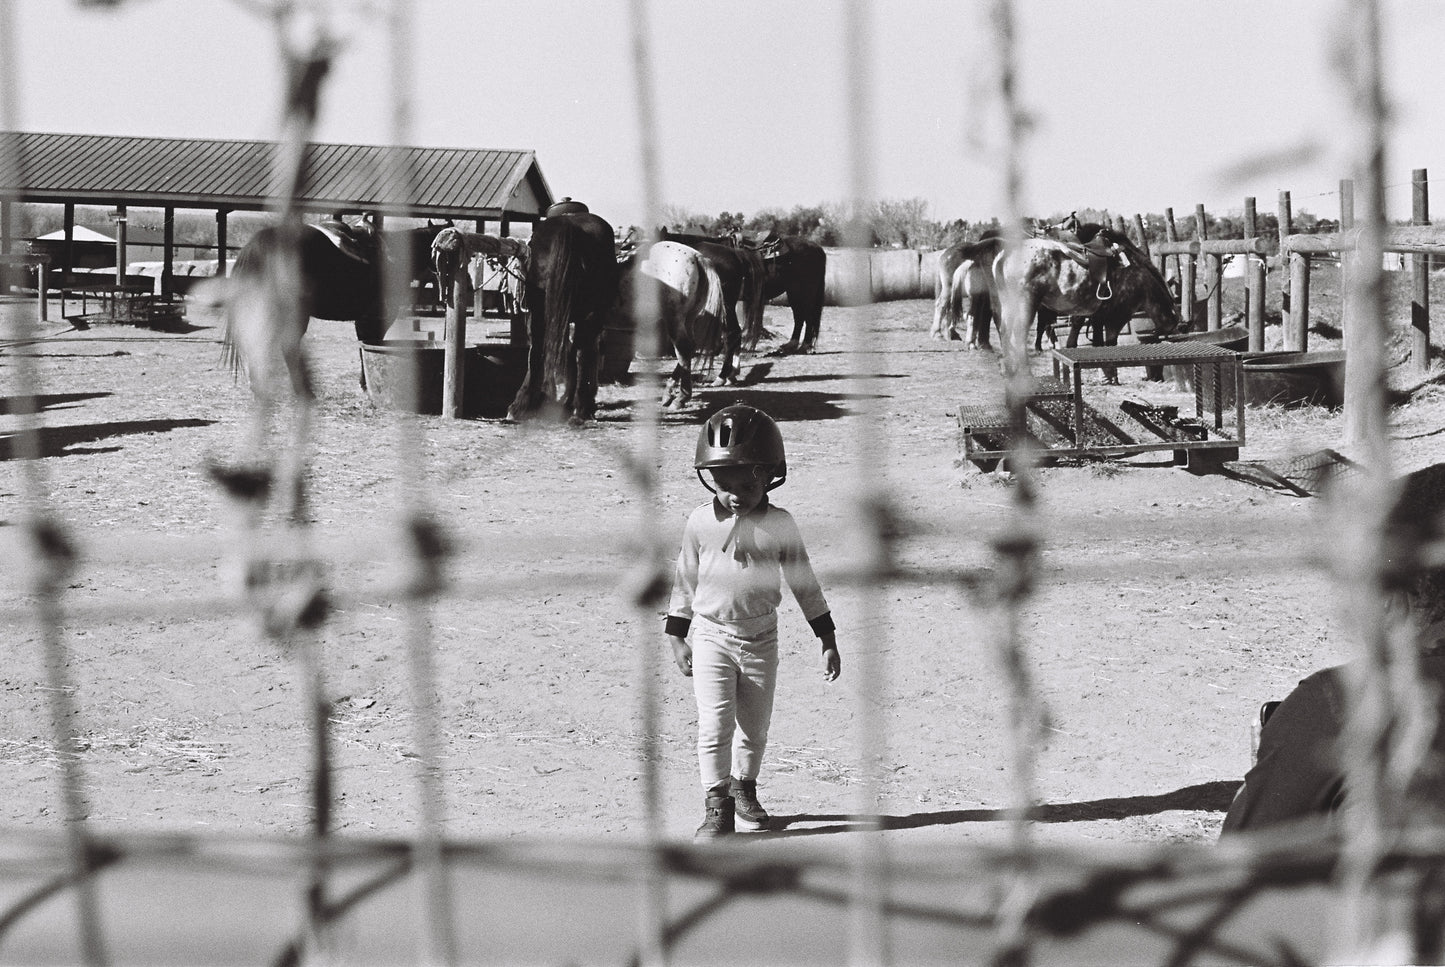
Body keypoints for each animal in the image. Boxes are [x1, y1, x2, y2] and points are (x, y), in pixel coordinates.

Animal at [508, 211, 621, 422]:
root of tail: (570, 226)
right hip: (589, 317)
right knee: (580, 353)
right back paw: (579, 407)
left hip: (540, 312)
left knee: (540, 350)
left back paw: (522, 405)